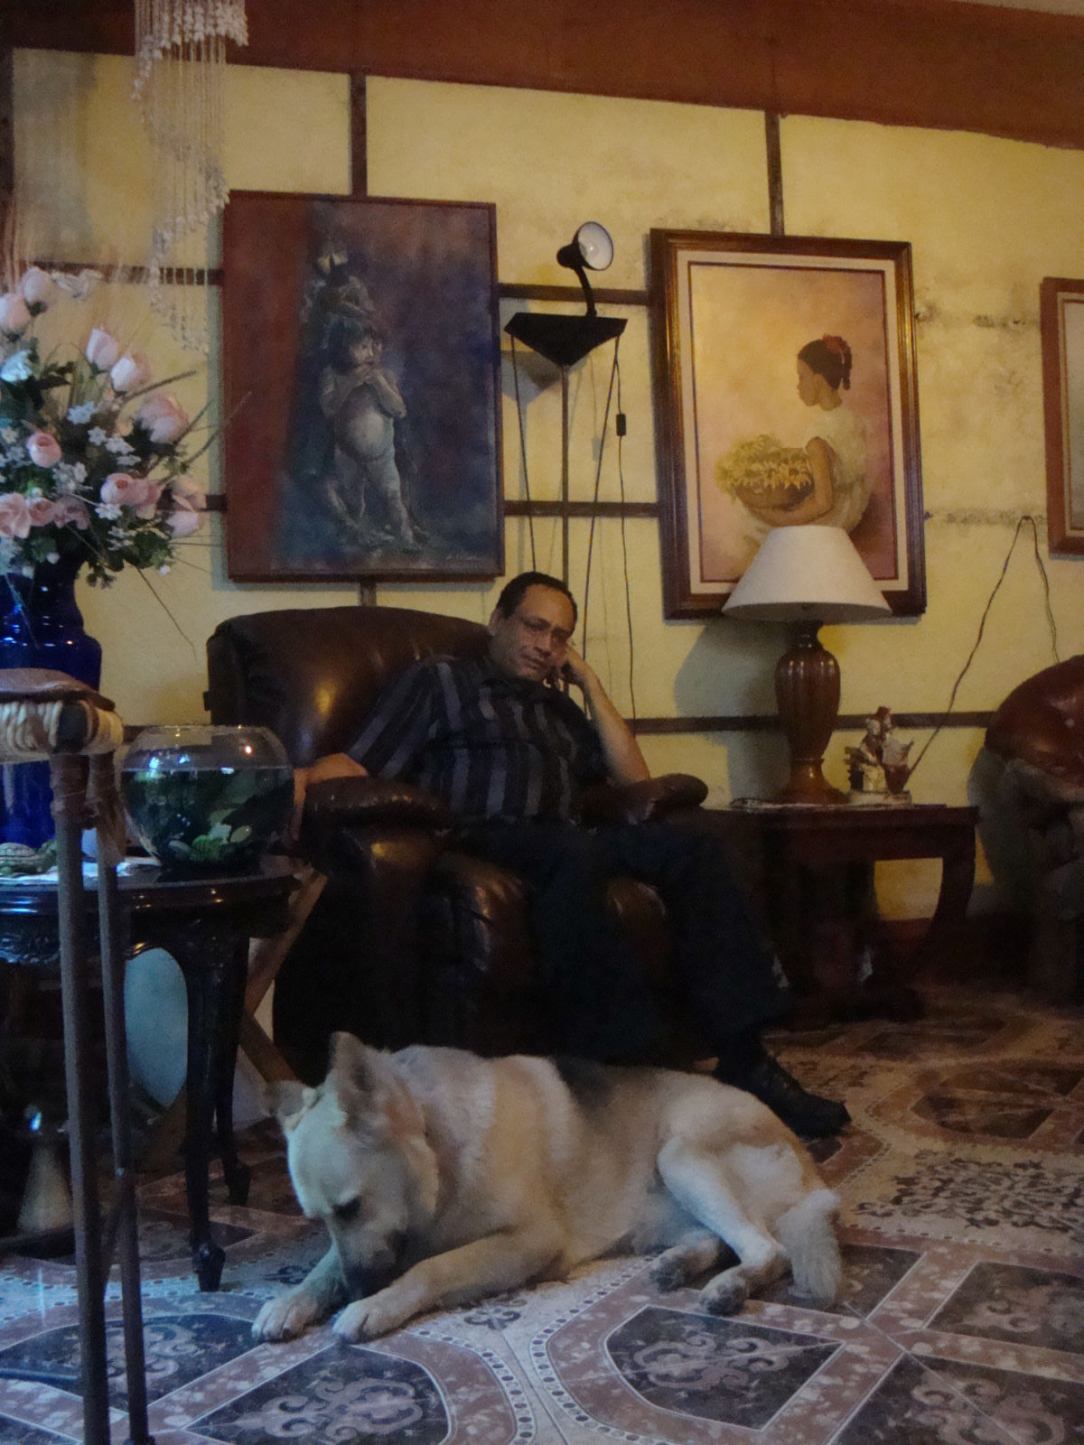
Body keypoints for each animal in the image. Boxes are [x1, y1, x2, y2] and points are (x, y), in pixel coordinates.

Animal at [252, 1033, 842, 1344]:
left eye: (352, 1207)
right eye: (320, 1219)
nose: (358, 1291)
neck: (440, 1150)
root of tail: (813, 1173)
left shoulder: (529, 1241)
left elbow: (433, 1267)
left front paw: (374, 1306)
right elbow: (326, 1266)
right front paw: (293, 1299)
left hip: (680, 1155)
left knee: (768, 1249)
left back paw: (729, 1287)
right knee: (718, 1239)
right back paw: (678, 1266)